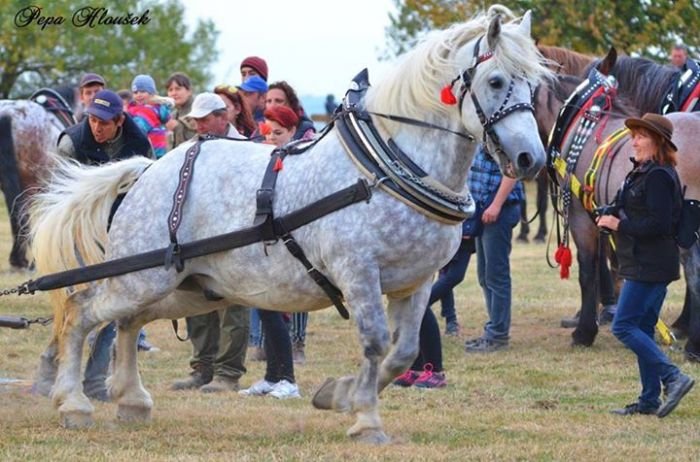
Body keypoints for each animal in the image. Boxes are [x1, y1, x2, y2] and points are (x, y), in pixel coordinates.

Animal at [30, 6, 552, 440]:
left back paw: (131, 400)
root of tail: (146, 171)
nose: (532, 158)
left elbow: (402, 351)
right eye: (497, 82)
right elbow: (375, 341)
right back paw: (74, 403)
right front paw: (366, 420)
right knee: (81, 312)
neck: (386, 167)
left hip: (189, 286)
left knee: (126, 322)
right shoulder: (358, 272)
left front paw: (339, 395)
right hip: (144, 277)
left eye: (535, 86)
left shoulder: (417, 282)